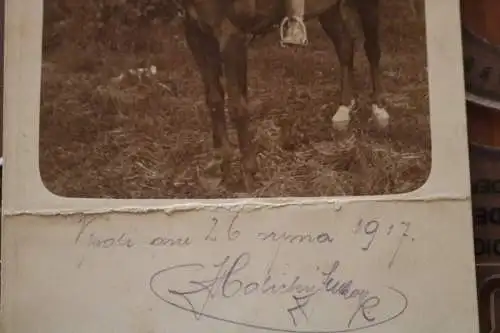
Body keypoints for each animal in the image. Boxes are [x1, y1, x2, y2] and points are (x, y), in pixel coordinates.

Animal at [180, 0, 386, 189]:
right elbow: (214, 99)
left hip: (367, 4)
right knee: (345, 46)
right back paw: (344, 110)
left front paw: (248, 171)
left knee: (372, 49)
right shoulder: (195, 33)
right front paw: (218, 165)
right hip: (328, 9)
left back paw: (380, 109)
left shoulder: (231, 36)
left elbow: (237, 107)